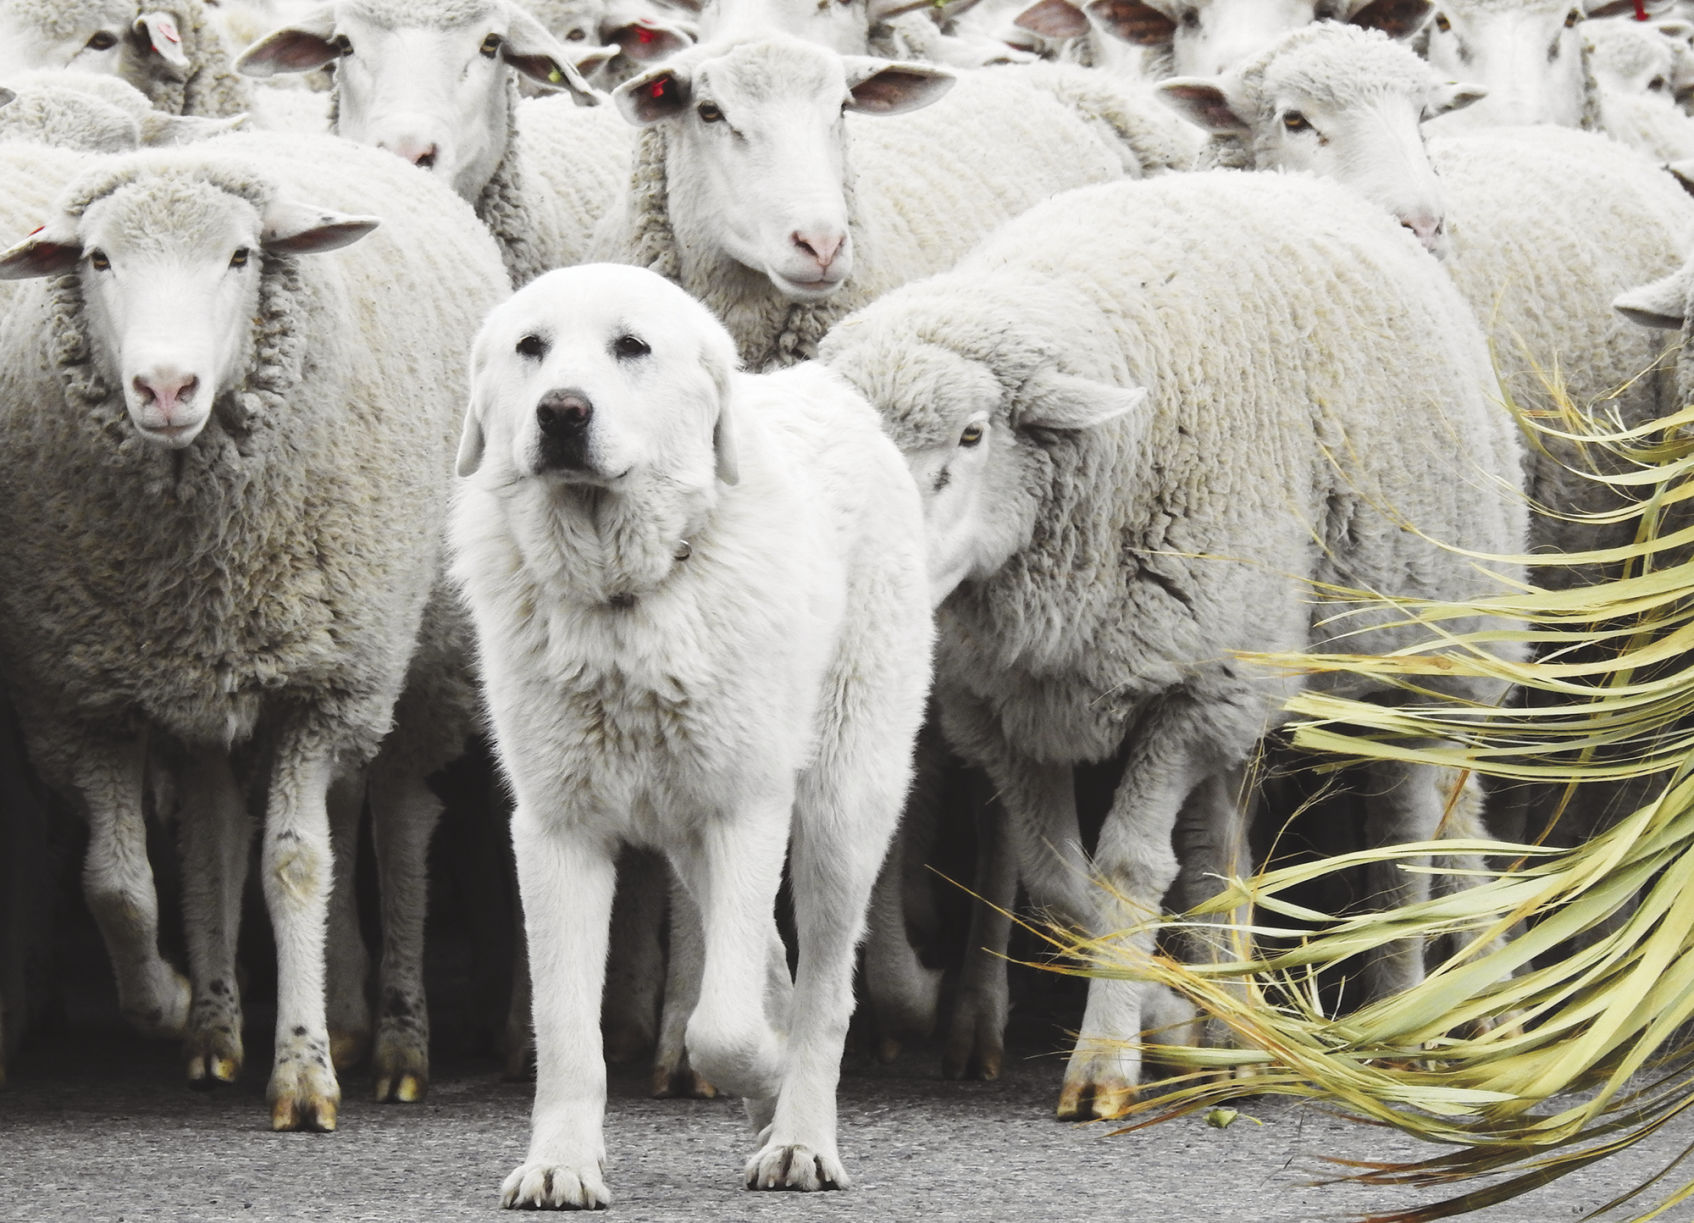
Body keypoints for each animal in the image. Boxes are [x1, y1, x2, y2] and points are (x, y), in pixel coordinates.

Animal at [0, 133, 508, 1124]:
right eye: (98, 259)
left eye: (240, 256)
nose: (165, 387)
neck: (200, 554)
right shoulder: (87, 697)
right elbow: (119, 883)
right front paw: (168, 1001)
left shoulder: (325, 685)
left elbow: (297, 866)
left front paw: (305, 1071)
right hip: (215, 695)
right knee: (218, 837)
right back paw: (224, 1029)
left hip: (420, 655)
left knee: (396, 821)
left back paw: (397, 1040)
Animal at [443, 262, 935, 1206]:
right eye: (531, 347)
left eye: (630, 346)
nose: (561, 411)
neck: (623, 605)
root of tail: (829, 389)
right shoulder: (556, 832)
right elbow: (566, 1027)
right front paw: (561, 1162)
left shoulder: (746, 811)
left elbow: (726, 1029)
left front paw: (767, 1077)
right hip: (690, 836)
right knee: (773, 962)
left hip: (837, 815)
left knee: (822, 990)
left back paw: (800, 1137)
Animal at [813, 166, 1531, 1117]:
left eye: (971, 434)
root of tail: (1280, 175)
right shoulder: (1009, 707)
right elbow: (1060, 877)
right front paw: (1181, 1015)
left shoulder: (1191, 692)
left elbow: (1126, 867)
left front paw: (1108, 1061)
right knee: (1223, 854)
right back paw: (1248, 1022)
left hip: (1427, 644)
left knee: (1419, 828)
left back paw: (1416, 1014)